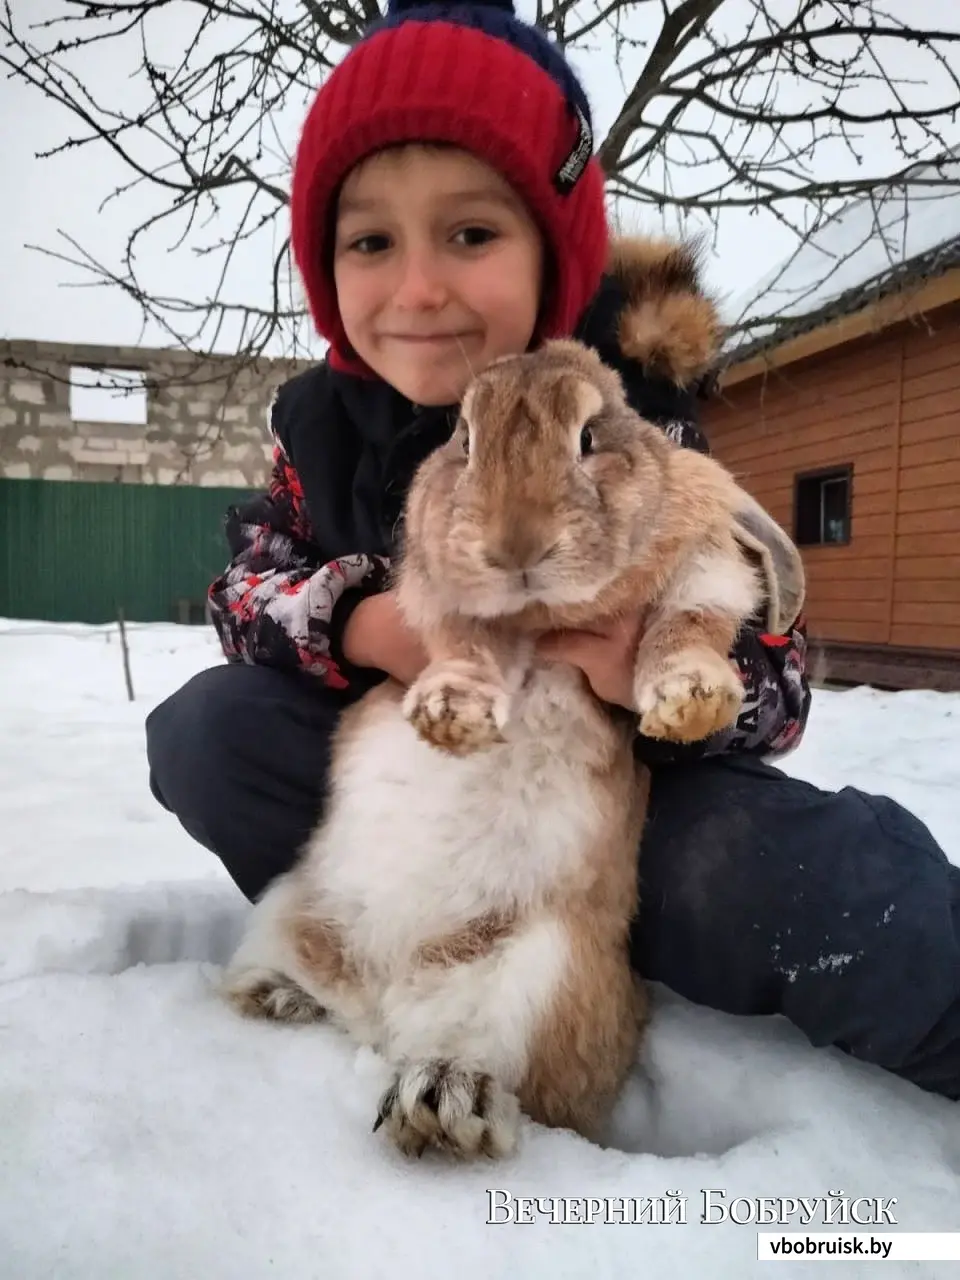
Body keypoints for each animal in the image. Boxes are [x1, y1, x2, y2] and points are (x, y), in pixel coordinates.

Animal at [225, 337, 803, 1162]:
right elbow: (467, 642)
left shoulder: (704, 567)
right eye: (464, 440)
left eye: (590, 437)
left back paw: (442, 1099)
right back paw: (273, 997)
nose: (516, 545)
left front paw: (691, 700)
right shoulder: (446, 594)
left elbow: (683, 625)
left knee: (494, 1073)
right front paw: (450, 714)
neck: (544, 612)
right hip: (286, 907)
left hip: (540, 972)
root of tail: (381, 999)